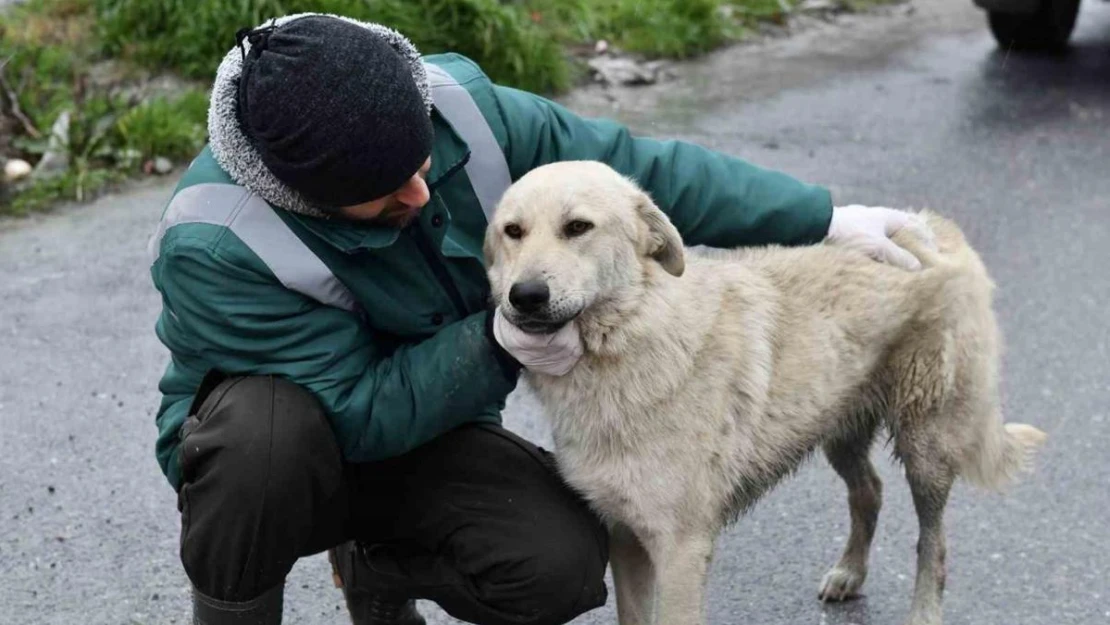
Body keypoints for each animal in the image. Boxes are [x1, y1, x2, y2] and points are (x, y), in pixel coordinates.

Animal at [481, 160, 1043, 625]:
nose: (525, 296)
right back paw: (850, 572)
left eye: (578, 227)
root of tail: (933, 227)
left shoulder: (681, 550)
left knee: (934, 544)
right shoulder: (625, 536)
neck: (633, 334)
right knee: (869, 491)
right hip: (837, 425)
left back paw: (923, 612)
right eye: (513, 232)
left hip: (926, 447)